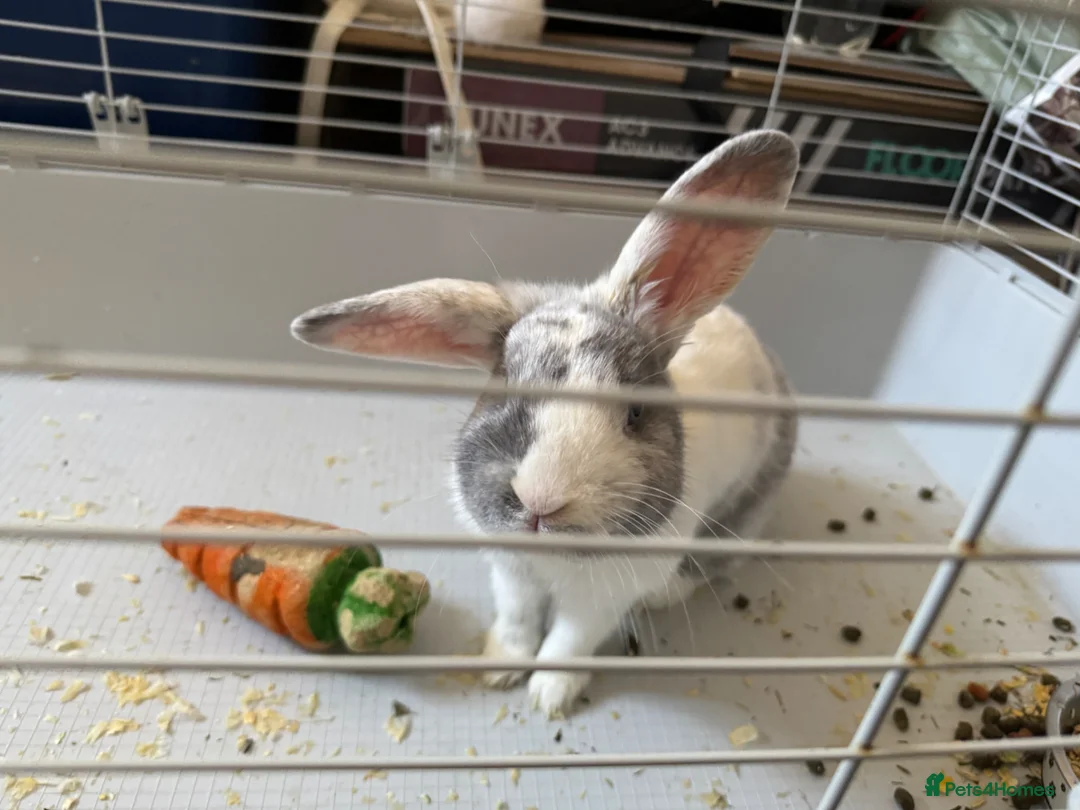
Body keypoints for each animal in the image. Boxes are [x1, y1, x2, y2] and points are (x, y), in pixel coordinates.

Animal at [290, 129, 800, 717]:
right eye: (505, 385)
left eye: (635, 412)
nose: (541, 500)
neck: (550, 555)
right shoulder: (511, 573)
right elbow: (518, 621)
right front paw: (499, 669)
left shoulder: (601, 597)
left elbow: (569, 640)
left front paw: (549, 697)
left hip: (746, 508)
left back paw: (668, 592)